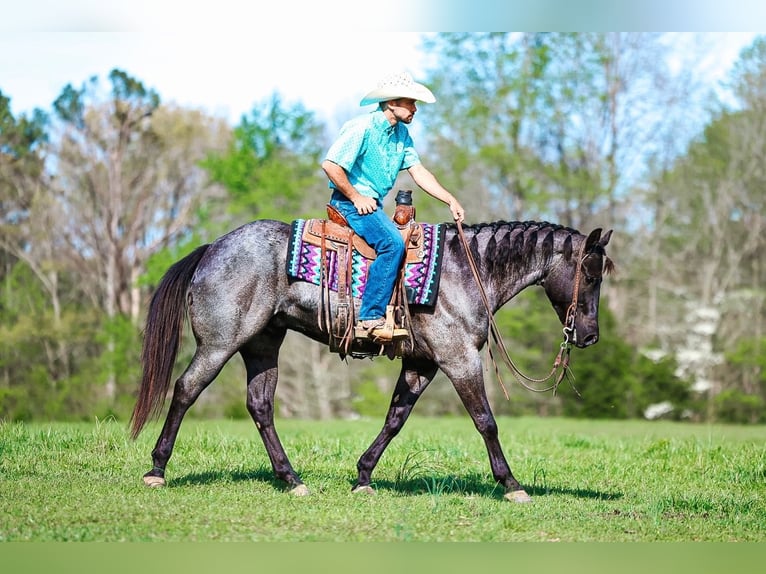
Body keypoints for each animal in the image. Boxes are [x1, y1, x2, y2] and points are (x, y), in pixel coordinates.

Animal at [130, 218, 613, 503]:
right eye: (591, 274)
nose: (589, 336)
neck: (466, 271)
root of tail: (212, 247)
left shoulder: (421, 364)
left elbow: (395, 419)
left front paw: (363, 476)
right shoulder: (458, 360)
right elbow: (485, 421)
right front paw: (511, 484)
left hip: (263, 345)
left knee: (260, 406)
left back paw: (292, 479)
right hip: (220, 343)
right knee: (186, 390)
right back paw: (156, 469)